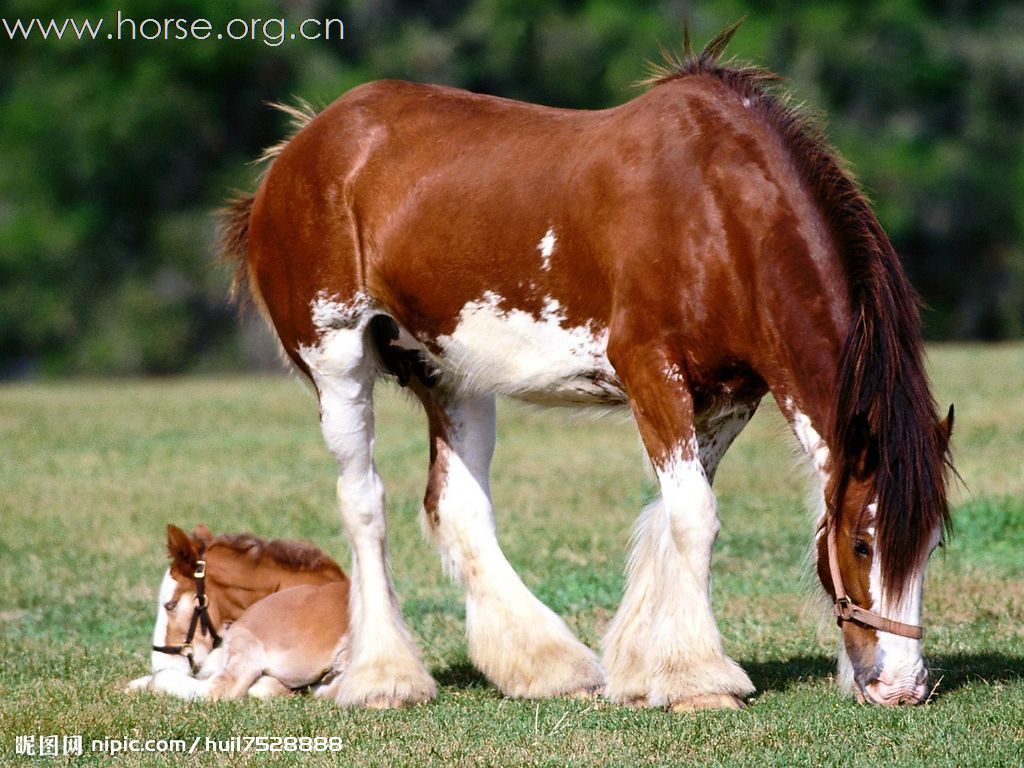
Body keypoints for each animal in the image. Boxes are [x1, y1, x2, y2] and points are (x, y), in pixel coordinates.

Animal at [220, 22, 954, 708]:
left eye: (931, 546)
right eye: (862, 544)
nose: (903, 686)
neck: (719, 212)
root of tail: (297, 151)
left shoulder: (728, 399)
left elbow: (669, 517)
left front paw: (642, 669)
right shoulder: (652, 372)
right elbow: (694, 517)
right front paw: (700, 680)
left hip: (452, 375)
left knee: (457, 506)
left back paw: (548, 666)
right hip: (338, 360)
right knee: (364, 502)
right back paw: (384, 677)